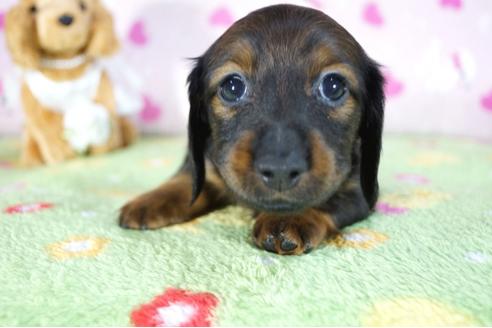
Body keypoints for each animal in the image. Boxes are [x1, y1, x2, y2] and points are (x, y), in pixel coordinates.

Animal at [120, 5, 384, 256]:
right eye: (232, 87)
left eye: (333, 86)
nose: (280, 170)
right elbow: (187, 178)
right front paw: (150, 200)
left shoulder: (358, 189)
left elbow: (327, 198)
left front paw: (290, 217)